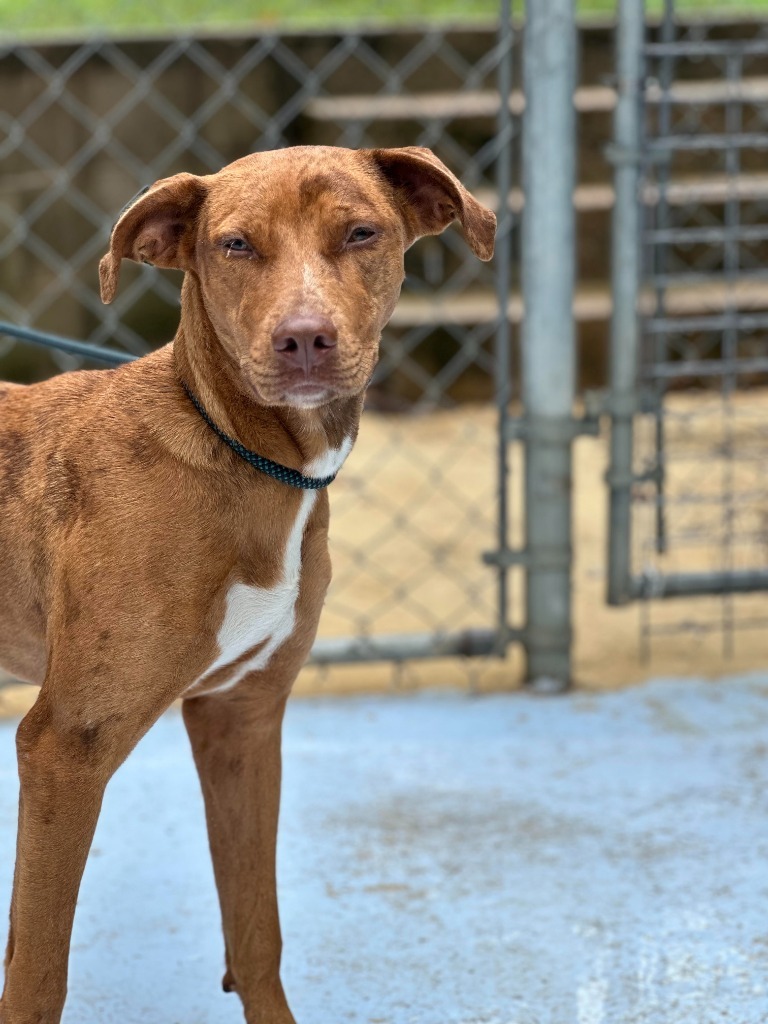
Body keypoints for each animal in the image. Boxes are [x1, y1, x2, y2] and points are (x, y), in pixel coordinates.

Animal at [0, 146, 495, 1024]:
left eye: (360, 232)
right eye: (235, 245)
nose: (304, 339)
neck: (238, 451)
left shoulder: (241, 717)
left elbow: (256, 931)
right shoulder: (66, 747)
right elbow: (37, 972)